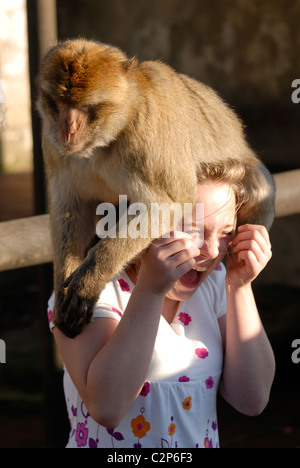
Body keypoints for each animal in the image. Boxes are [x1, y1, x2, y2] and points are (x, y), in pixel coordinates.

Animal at [36, 39, 276, 336]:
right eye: (58, 104)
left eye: (86, 107)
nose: (67, 130)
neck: (107, 139)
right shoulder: (53, 146)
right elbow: (72, 211)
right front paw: (62, 290)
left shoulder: (146, 137)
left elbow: (170, 204)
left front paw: (89, 280)